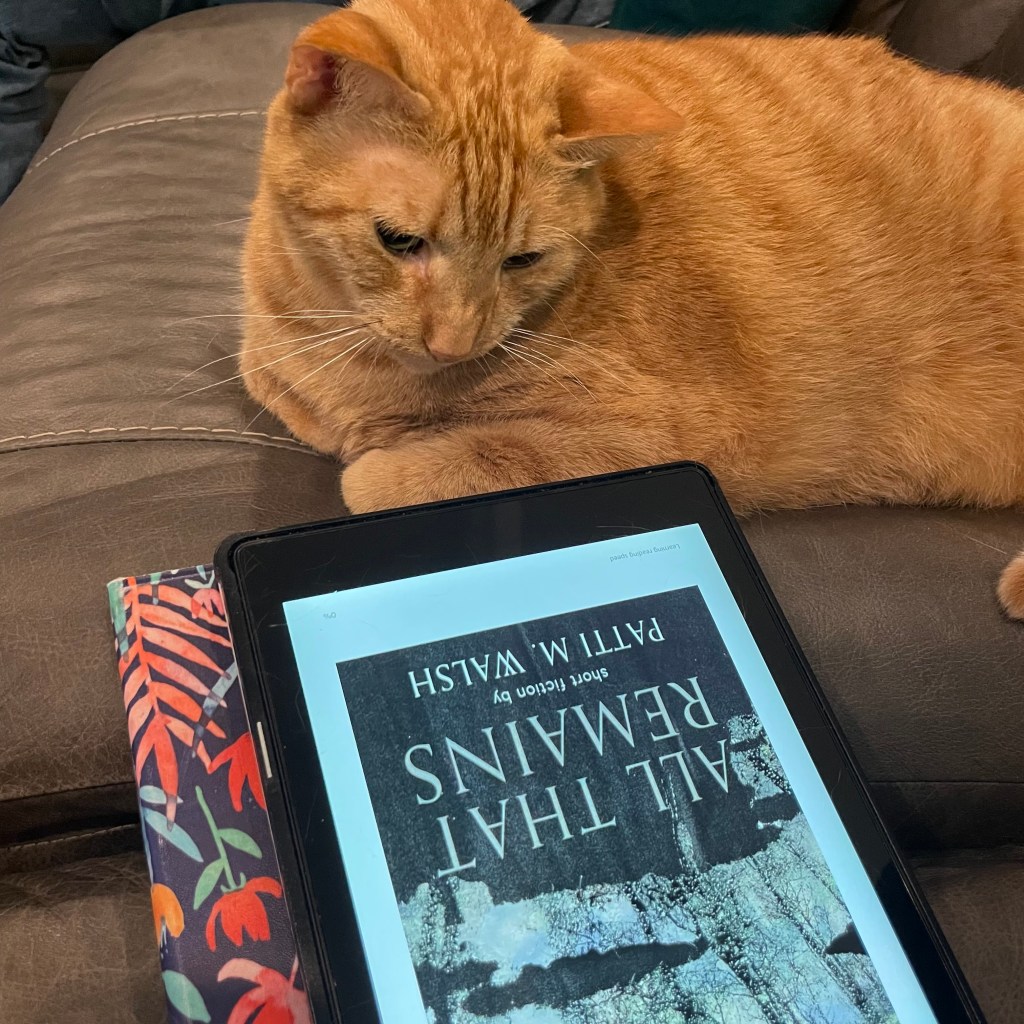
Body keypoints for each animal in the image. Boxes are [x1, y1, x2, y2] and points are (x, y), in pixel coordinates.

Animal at [241, 0, 1024, 619]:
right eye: (399, 241)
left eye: (523, 260)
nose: (455, 342)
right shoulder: (275, 369)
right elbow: (296, 398)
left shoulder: (669, 439)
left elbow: (433, 466)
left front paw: (384, 458)